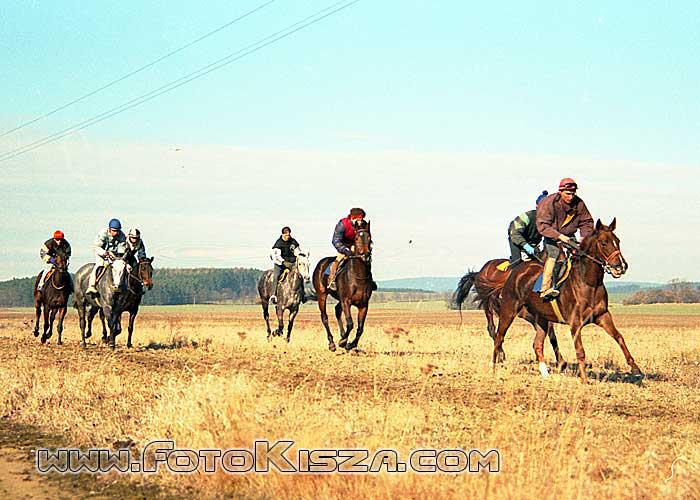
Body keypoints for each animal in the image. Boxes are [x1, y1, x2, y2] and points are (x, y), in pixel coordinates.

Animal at [314, 223, 374, 352]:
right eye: (356, 238)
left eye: (370, 238)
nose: (366, 255)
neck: (358, 276)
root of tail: (321, 263)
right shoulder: (346, 301)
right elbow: (350, 323)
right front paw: (342, 342)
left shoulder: (363, 304)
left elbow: (360, 328)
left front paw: (350, 344)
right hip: (321, 295)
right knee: (324, 317)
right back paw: (332, 343)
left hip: (339, 298)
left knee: (337, 310)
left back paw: (342, 336)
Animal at [486, 219, 640, 382]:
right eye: (604, 243)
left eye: (617, 241)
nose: (621, 266)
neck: (589, 283)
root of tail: (514, 271)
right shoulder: (575, 323)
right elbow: (580, 351)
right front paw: (584, 379)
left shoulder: (602, 316)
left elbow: (619, 337)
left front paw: (635, 368)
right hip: (508, 311)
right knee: (499, 337)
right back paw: (492, 368)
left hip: (541, 318)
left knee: (537, 344)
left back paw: (545, 374)